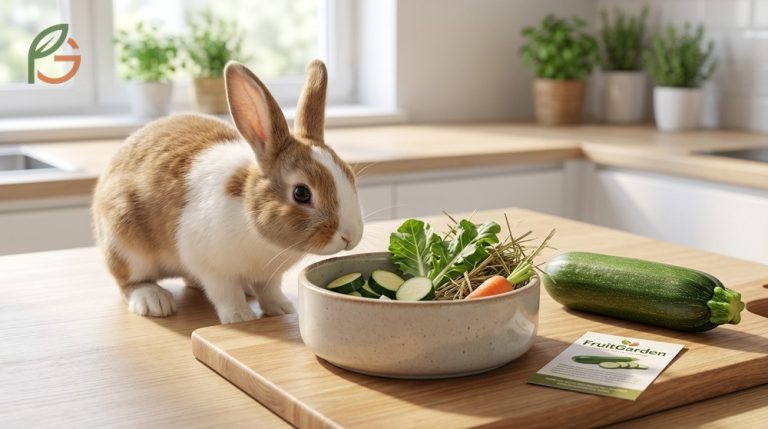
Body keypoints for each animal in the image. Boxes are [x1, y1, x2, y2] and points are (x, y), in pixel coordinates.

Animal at [92, 60, 364, 324]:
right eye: (301, 193)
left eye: (350, 175)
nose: (350, 237)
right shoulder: (212, 269)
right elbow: (225, 293)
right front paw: (239, 317)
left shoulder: (270, 275)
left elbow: (270, 290)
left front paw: (281, 309)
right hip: (125, 245)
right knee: (129, 282)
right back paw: (154, 300)